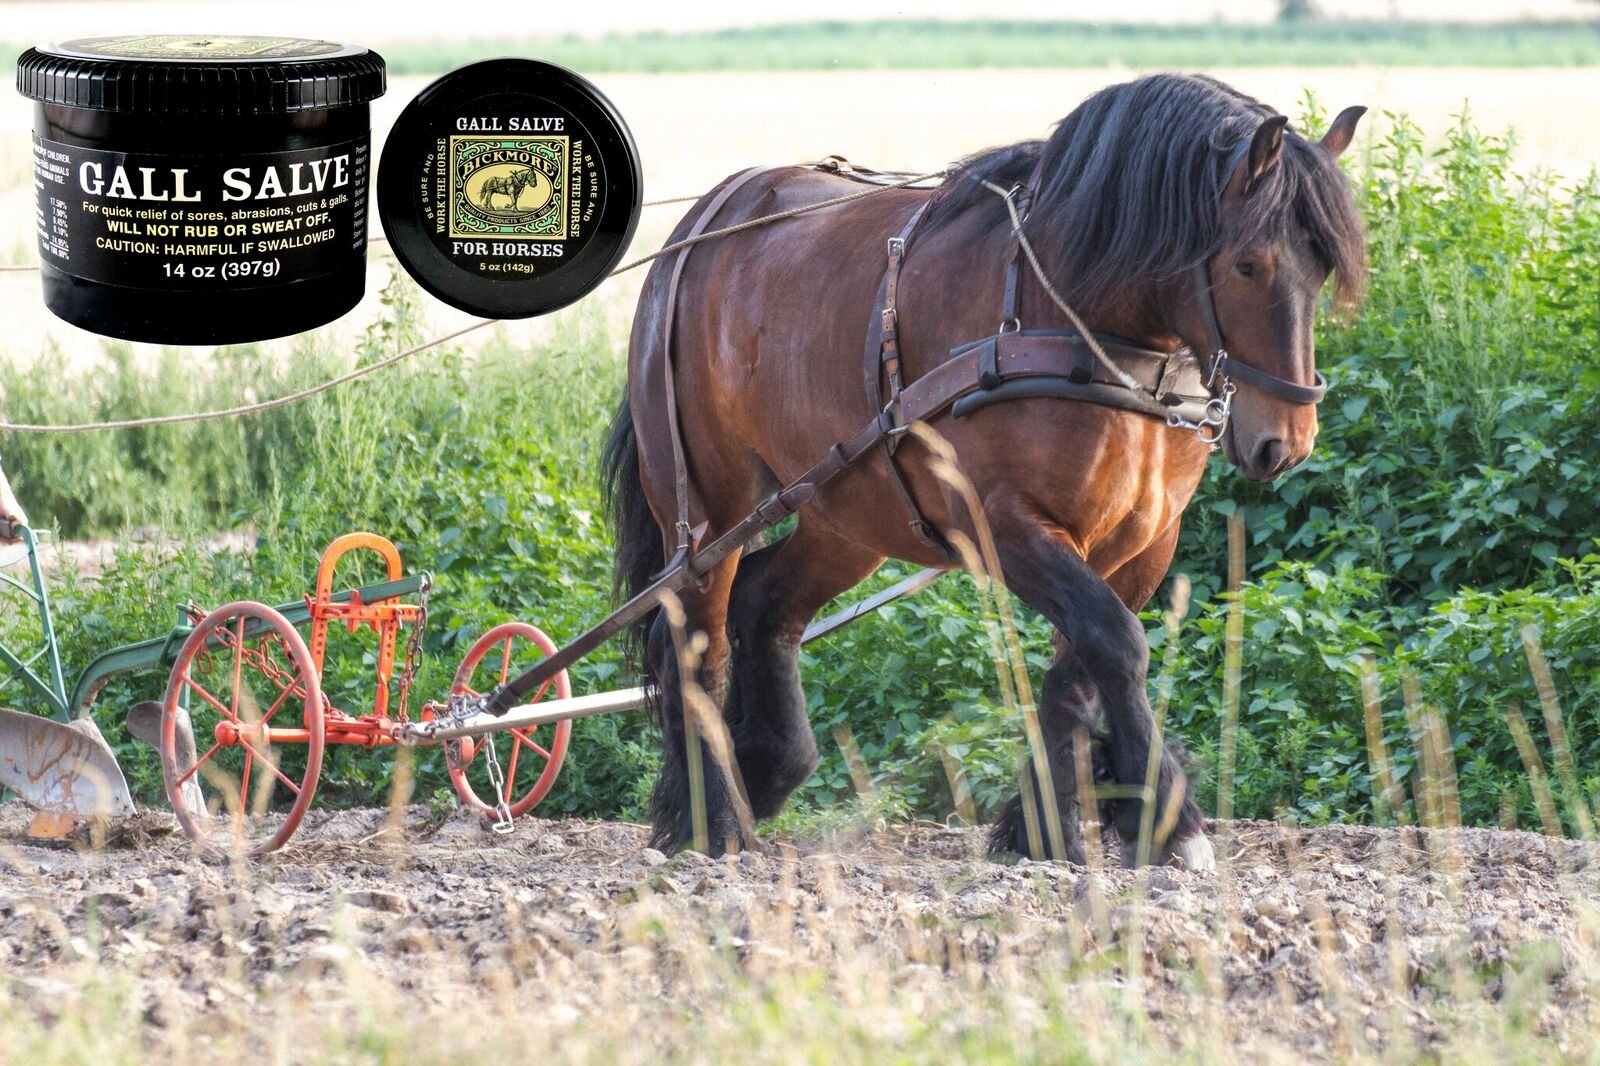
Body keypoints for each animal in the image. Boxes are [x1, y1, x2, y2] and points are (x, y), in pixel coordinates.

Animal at [603, 72, 1367, 867]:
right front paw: (1169, 822)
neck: (1074, 323)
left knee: (766, 608)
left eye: (1321, 269)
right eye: (1248, 263)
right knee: (694, 644)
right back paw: (711, 820)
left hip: (846, 510)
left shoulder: (1145, 538)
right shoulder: (1002, 523)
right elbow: (1116, 642)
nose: (1286, 442)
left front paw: (1047, 824)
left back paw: (766, 767)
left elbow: (1082, 666)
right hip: (706, 511)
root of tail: (711, 214)